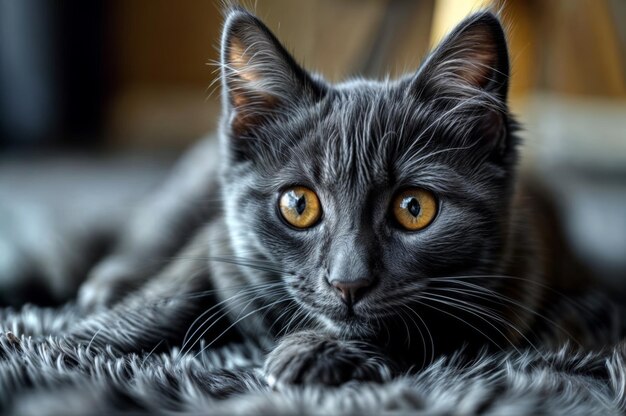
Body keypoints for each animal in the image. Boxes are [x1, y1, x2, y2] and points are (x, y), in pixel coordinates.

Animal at [69, 8, 620, 388]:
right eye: (298, 205)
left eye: (414, 208)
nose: (347, 282)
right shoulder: (221, 236)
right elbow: (181, 278)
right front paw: (87, 341)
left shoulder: (498, 298)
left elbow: (409, 326)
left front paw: (314, 351)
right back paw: (108, 285)